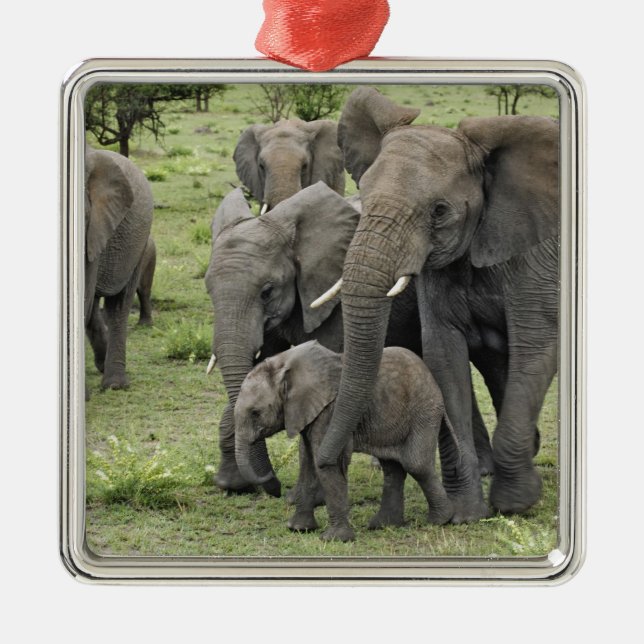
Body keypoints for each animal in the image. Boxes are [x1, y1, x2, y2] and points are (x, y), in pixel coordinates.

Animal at [204, 182, 421, 496]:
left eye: (267, 291)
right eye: (208, 290)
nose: (274, 485)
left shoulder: (334, 298)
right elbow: (256, 371)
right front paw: (232, 485)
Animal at [234, 341, 455, 542]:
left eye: (255, 413)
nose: (272, 480)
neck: (285, 362)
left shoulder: (330, 412)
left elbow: (326, 464)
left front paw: (334, 539)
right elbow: (307, 462)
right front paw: (298, 529)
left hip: (424, 411)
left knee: (415, 464)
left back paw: (440, 521)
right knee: (392, 467)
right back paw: (384, 524)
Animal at [313, 87, 559, 521]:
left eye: (439, 211)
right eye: (364, 194)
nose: (328, 463)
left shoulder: (535, 258)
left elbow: (535, 347)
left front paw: (515, 504)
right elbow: (444, 358)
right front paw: (464, 515)